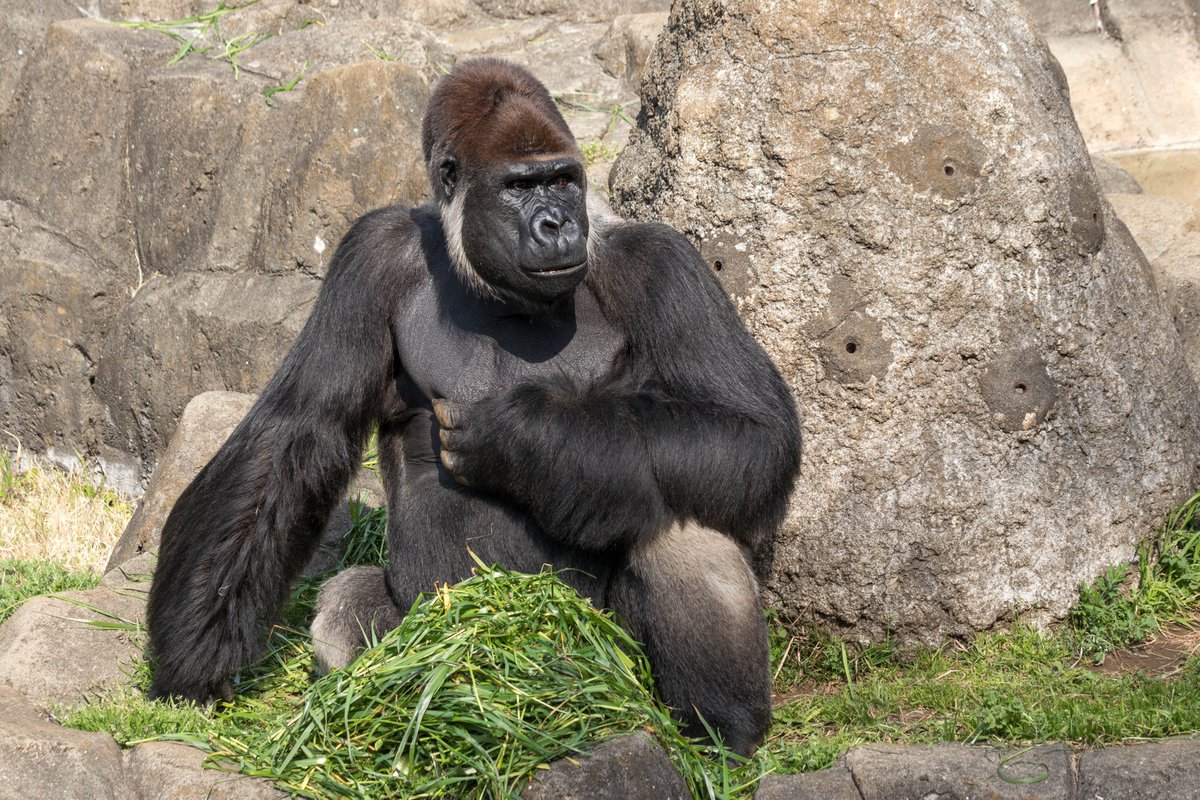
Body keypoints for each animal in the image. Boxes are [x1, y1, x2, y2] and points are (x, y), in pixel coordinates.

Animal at [152, 56, 806, 758]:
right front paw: (196, 648)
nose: (558, 225)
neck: (489, 282)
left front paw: (530, 437)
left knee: (684, 524)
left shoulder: (660, 262)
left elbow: (753, 431)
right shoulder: (370, 253)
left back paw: (716, 732)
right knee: (347, 603)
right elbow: (298, 432)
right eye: (519, 187)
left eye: (563, 179)